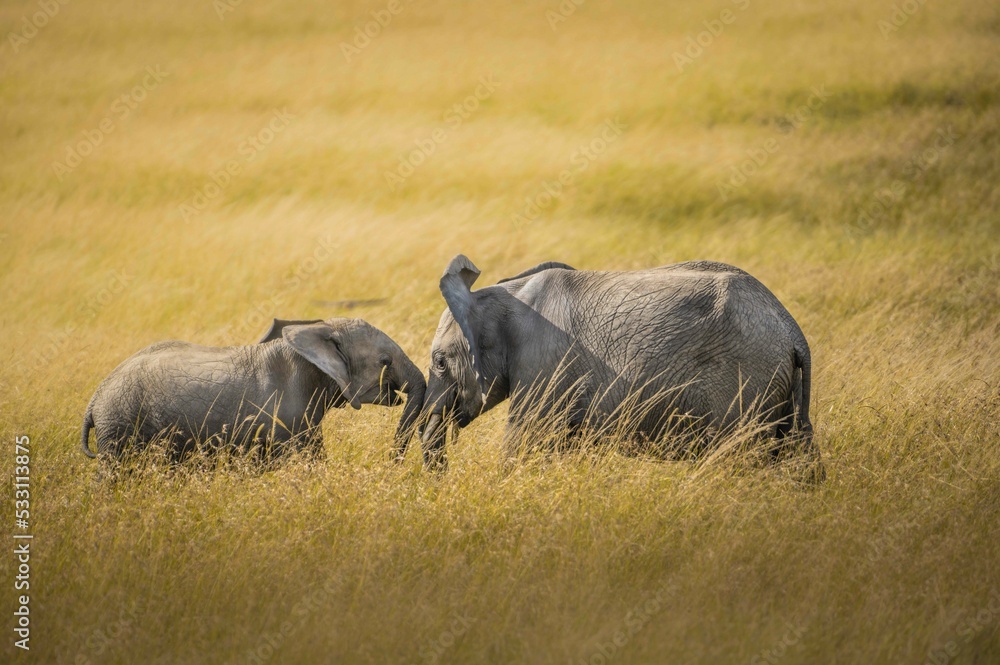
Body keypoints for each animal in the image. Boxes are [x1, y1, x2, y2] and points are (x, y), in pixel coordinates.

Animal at [81, 318, 425, 463]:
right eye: (385, 361)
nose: (390, 464)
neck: (319, 332)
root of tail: (95, 398)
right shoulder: (287, 412)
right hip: (120, 422)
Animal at [415, 255, 824, 481]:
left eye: (440, 363)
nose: (441, 479)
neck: (502, 295)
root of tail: (794, 334)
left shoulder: (544, 362)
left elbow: (523, 441)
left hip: (745, 381)